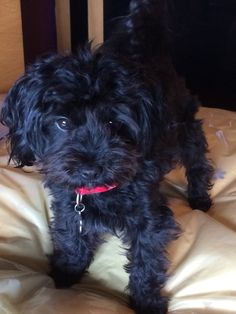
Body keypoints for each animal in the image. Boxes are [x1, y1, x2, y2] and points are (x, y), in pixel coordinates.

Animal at [0, 0, 214, 314]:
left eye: (114, 123)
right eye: (62, 123)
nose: (89, 169)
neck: (101, 191)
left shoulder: (150, 218)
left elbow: (147, 261)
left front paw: (147, 301)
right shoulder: (68, 203)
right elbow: (70, 238)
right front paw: (65, 274)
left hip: (187, 128)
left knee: (198, 163)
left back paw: (200, 199)